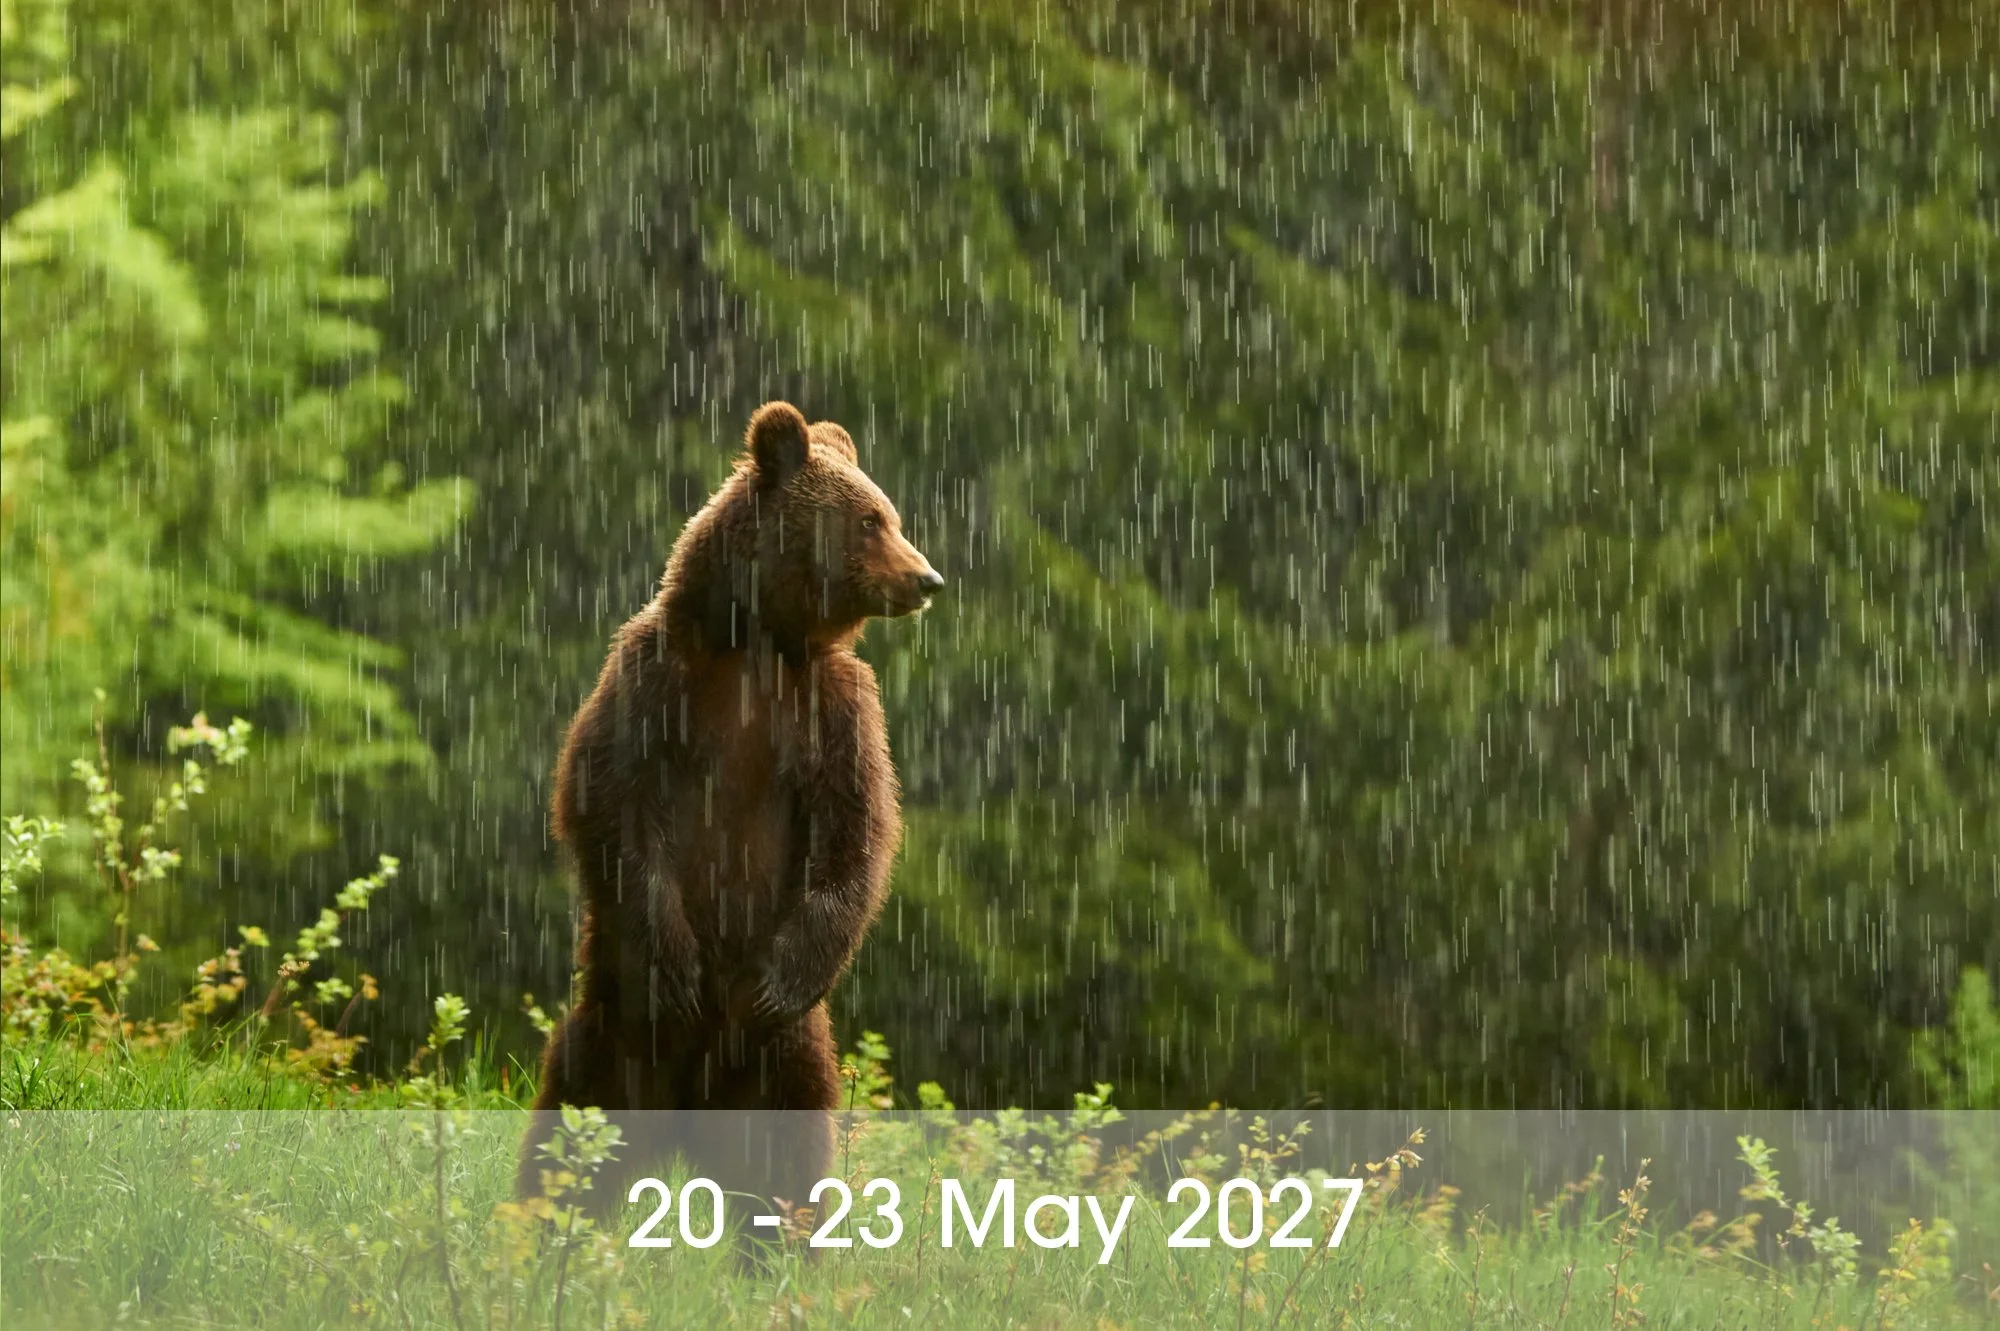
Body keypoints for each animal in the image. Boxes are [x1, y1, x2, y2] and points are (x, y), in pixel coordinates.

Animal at [516, 401, 943, 1223]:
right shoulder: (654, 681)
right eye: (870, 520)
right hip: (617, 1031)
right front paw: (678, 966)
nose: (927, 577)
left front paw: (781, 974)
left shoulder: (834, 714)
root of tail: (690, 1113)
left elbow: (856, 833)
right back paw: (540, 1225)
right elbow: (612, 809)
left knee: (789, 1153)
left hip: (782, 1056)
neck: (758, 641)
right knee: (572, 1130)